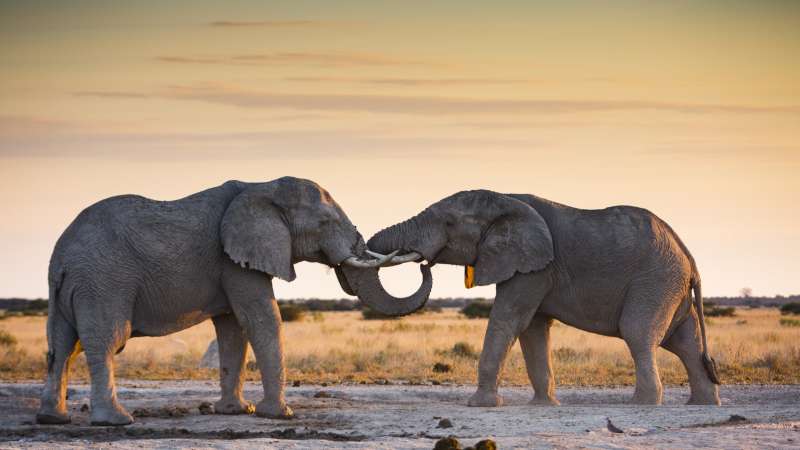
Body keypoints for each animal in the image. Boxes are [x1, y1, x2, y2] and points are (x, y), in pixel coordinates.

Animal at [36, 176, 431, 426]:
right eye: (324, 223)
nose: (423, 262)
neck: (262, 186)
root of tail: (62, 257)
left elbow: (232, 329)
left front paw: (235, 411)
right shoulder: (234, 258)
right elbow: (261, 319)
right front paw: (278, 415)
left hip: (71, 288)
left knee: (61, 346)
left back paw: (52, 419)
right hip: (103, 281)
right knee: (107, 340)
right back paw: (116, 422)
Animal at [366, 190, 721, 407]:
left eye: (449, 223)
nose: (425, 265)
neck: (505, 199)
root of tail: (688, 256)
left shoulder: (534, 268)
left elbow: (509, 319)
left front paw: (481, 405)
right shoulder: (531, 268)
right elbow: (532, 329)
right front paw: (544, 404)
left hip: (655, 280)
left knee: (638, 333)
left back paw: (641, 404)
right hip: (669, 286)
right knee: (684, 341)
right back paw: (703, 403)